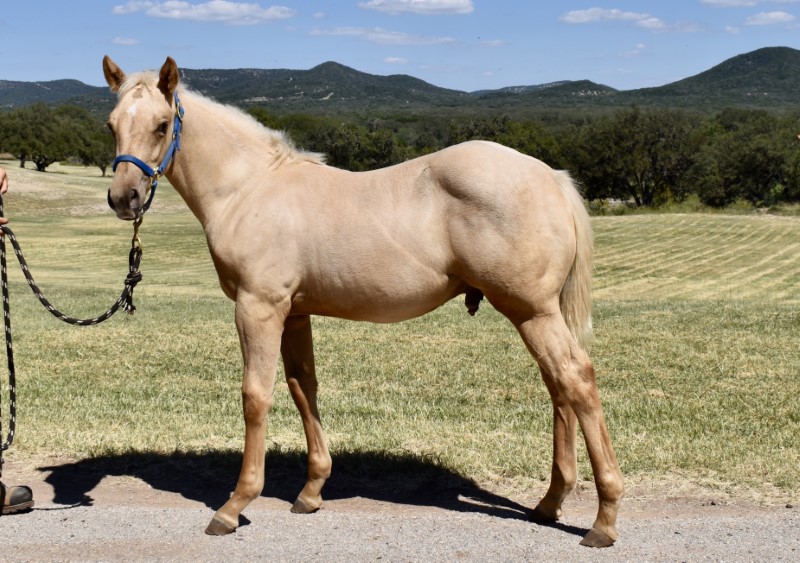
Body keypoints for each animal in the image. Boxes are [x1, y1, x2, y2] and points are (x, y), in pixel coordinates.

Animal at [101, 56, 624, 548]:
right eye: (111, 124)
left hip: (532, 311)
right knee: (558, 387)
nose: (125, 199)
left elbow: (256, 396)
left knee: (576, 380)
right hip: (536, 314)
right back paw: (550, 502)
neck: (249, 188)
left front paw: (234, 505)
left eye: (161, 124)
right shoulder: (295, 314)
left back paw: (604, 518)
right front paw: (311, 492)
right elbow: (303, 388)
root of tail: (550, 176)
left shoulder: (259, 308)